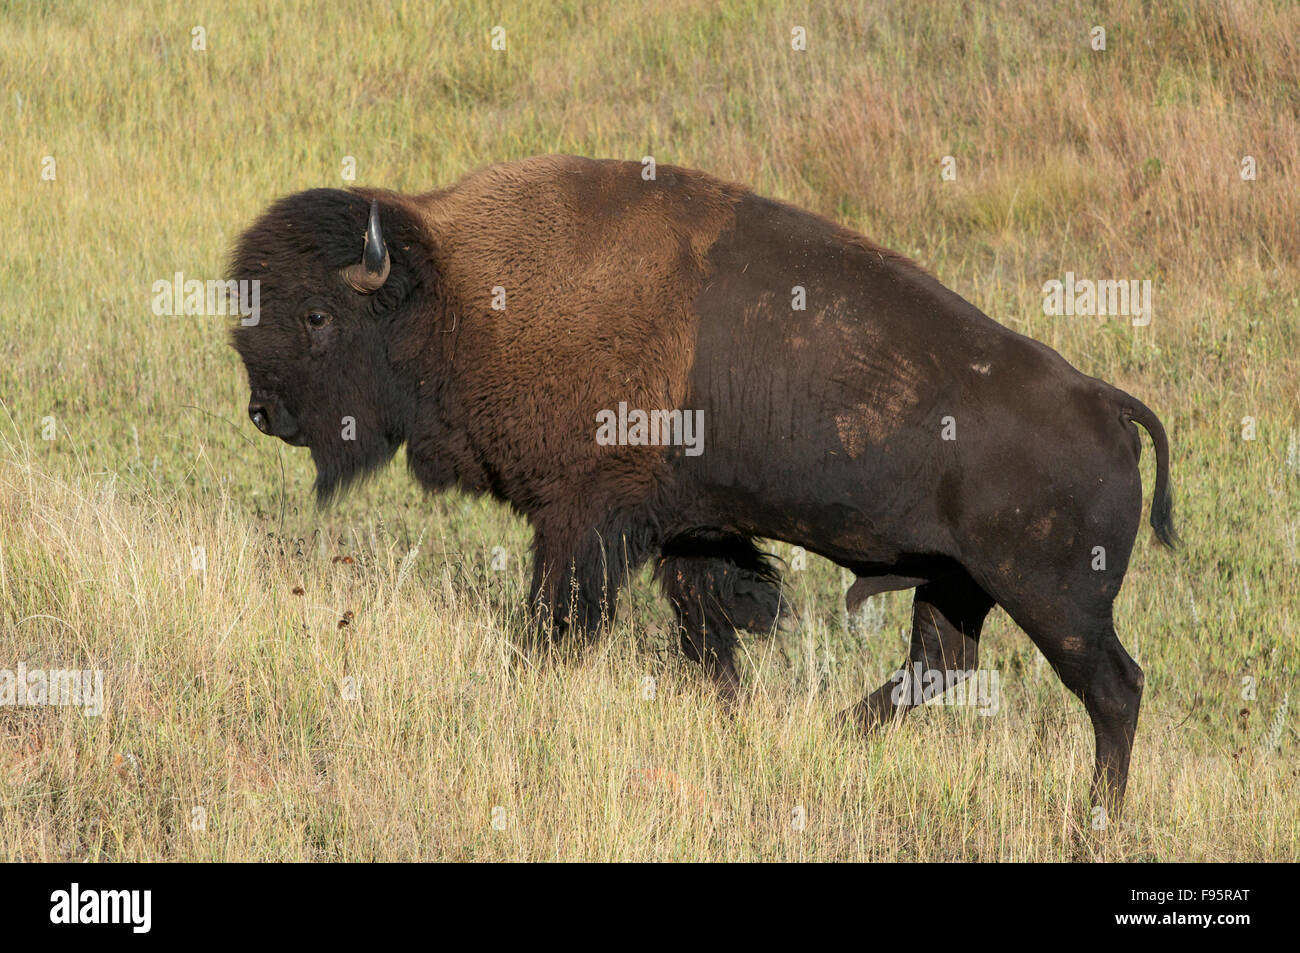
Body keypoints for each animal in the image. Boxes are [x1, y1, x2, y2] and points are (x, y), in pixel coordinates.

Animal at [228, 154, 1175, 811]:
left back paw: (1095, 817)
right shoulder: (687, 532)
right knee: (941, 664)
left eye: (316, 313)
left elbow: (559, 623)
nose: (263, 412)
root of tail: (1106, 401)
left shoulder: (584, 518)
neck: (461, 292)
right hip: (956, 583)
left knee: (1113, 689)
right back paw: (832, 735)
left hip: (1053, 599)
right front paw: (734, 719)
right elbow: (711, 627)